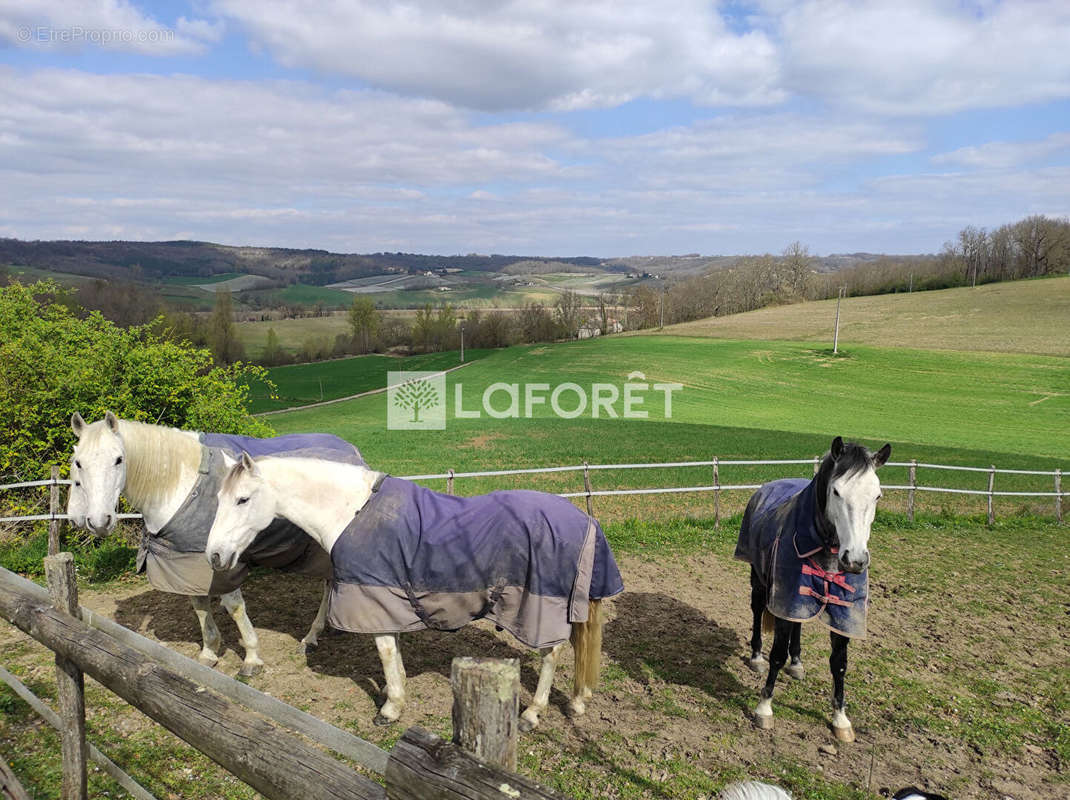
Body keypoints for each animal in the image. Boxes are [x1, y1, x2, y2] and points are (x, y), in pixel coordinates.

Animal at [70, 412, 368, 675]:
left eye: (118, 459)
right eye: (79, 463)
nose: (99, 521)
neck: (182, 486)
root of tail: (353, 451)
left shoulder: (223, 560)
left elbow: (234, 608)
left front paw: (252, 658)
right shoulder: (187, 563)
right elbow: (199, 605)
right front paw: (209, 651)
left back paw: (311, 636)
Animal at [204, 453, 624, 727]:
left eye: (243, 499)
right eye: (219, 499)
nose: (215, 555)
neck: (352, 513)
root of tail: (584, 520)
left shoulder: (376, 600)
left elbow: (386, 653)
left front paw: (391, 708)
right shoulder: (388, 601)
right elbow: (396, 654)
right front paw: (399, 693)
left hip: (540, 611)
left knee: (552, 654)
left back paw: (533, 713)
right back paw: (579, 700)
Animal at [736, 438, 894, 744]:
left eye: (878, 496)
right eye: (836, 491)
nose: (855, 560)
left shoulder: (843, 612)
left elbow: (840, 663)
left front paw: (841, 720)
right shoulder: (784, 597)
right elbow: (777, 654)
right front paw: (764, 708)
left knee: (798, 626)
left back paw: (797, 662)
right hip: (759, 580)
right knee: (757, 612)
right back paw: (757, 657)